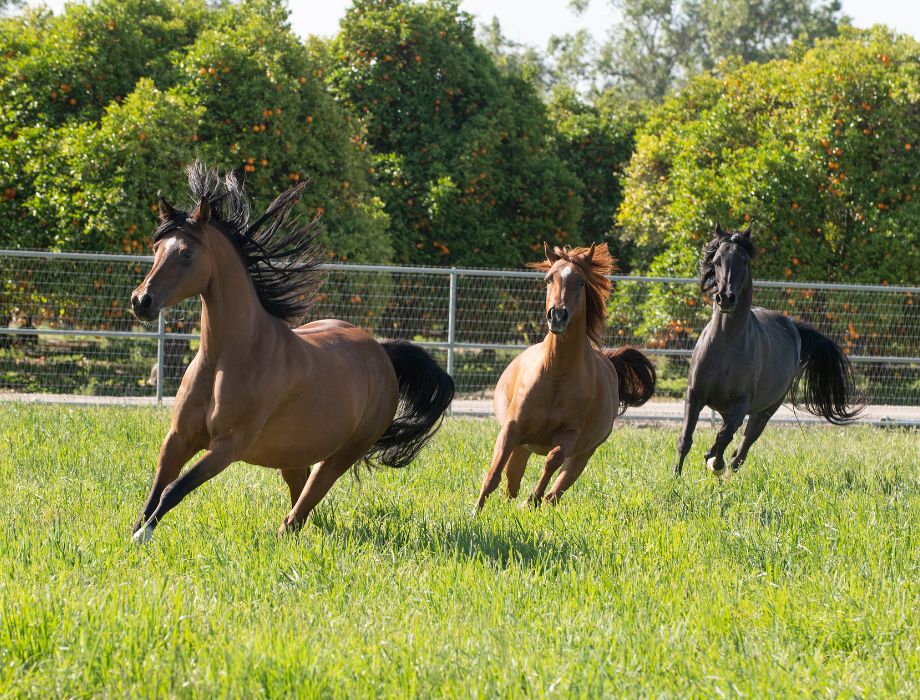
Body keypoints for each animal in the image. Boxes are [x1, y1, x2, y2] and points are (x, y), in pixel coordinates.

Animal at [130, 161, 454, 543]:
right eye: (156, 249)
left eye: (187, 253)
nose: (141, 301)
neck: (225, 357)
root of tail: (382, 353)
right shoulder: (178, 438)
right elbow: (154, 491)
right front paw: (135, 533)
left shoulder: (228, 446)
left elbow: (173, 489)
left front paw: (143, 536)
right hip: (293, 454)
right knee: (302, 499)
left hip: (342, 454)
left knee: (305, 503)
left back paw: (284, 534)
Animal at [474, 243, 656, 511]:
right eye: (549, 279)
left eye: (581, 282)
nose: (558, 316)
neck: (556, 374)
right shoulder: (512, 428)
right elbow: (494, 472)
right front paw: (475, 511)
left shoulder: (570, 434)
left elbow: (552, 459)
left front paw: (532, 500)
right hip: (523, 448)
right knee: (511, 483)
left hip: (582, 456)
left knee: (555, 492)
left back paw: (534, 501)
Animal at [672, 223, 863, 477]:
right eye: (717, 260)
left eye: (744, 260)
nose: (726, 298)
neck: (725, 345)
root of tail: (794, 328)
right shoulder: (694, 395)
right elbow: (686, 439)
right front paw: (676, 477)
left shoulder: (742, 404)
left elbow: (724, 436)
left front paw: (714, 462)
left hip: (765, 411)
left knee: (740, 451)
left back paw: (723, 467)